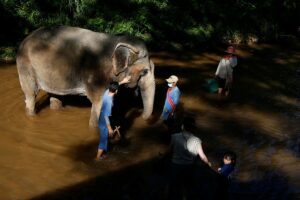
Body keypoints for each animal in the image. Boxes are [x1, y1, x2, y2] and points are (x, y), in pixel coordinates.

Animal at [16, 25, 156, 127]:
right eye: (144, 72)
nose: (141, 115)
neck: (116, 41)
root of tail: (23, 40)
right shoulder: (96, 77)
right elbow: (98, 103)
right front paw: (94, 129)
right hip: (26, 67)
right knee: (31, 95)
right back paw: (32, 116)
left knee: (55, 95)